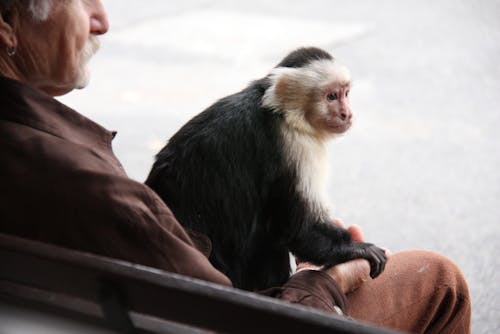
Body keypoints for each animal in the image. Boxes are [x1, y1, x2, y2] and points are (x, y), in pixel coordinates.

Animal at [145, 47, 386, 292]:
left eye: (346, 93)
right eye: (331, 97)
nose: (347, 114)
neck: (281, 112)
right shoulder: (295, 143)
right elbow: (297, 228)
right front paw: (355, 249)